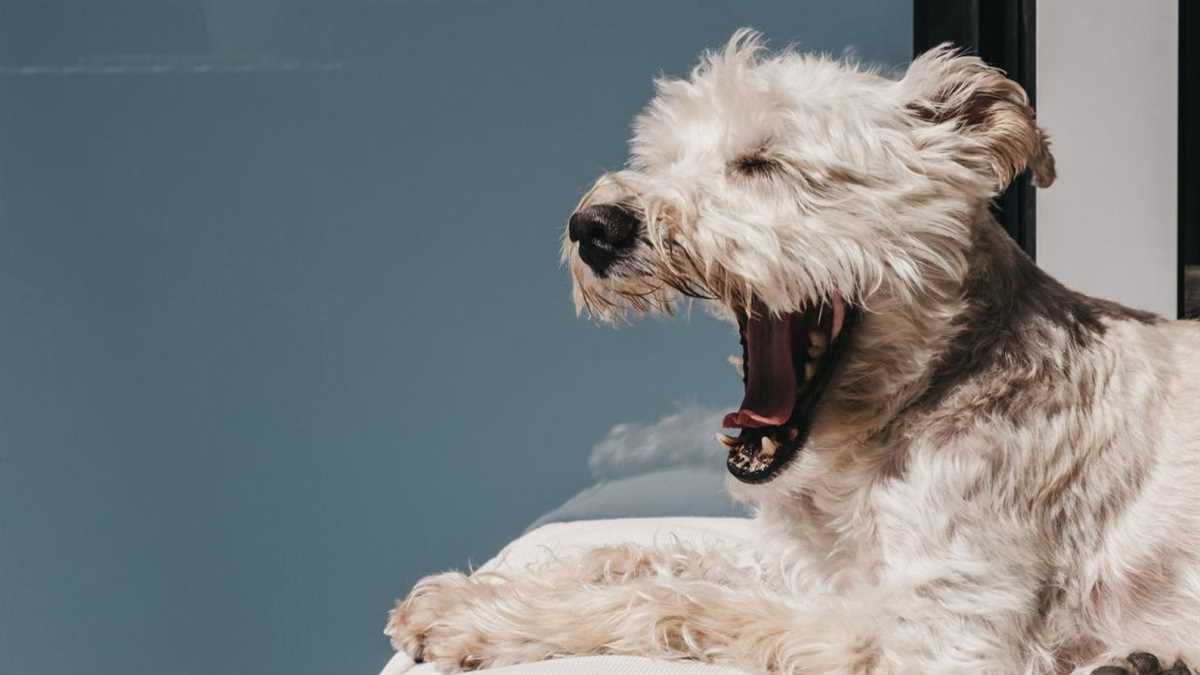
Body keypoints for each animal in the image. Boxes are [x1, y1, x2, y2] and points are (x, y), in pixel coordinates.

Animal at [384, 31, 1200, 672]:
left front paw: (477, 620)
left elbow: (674, 596)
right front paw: (463, 593)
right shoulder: (814, 566)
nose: (594, 227)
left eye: (763, 163)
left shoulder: (942, 632)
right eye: (659, 157)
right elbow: (650, 551)